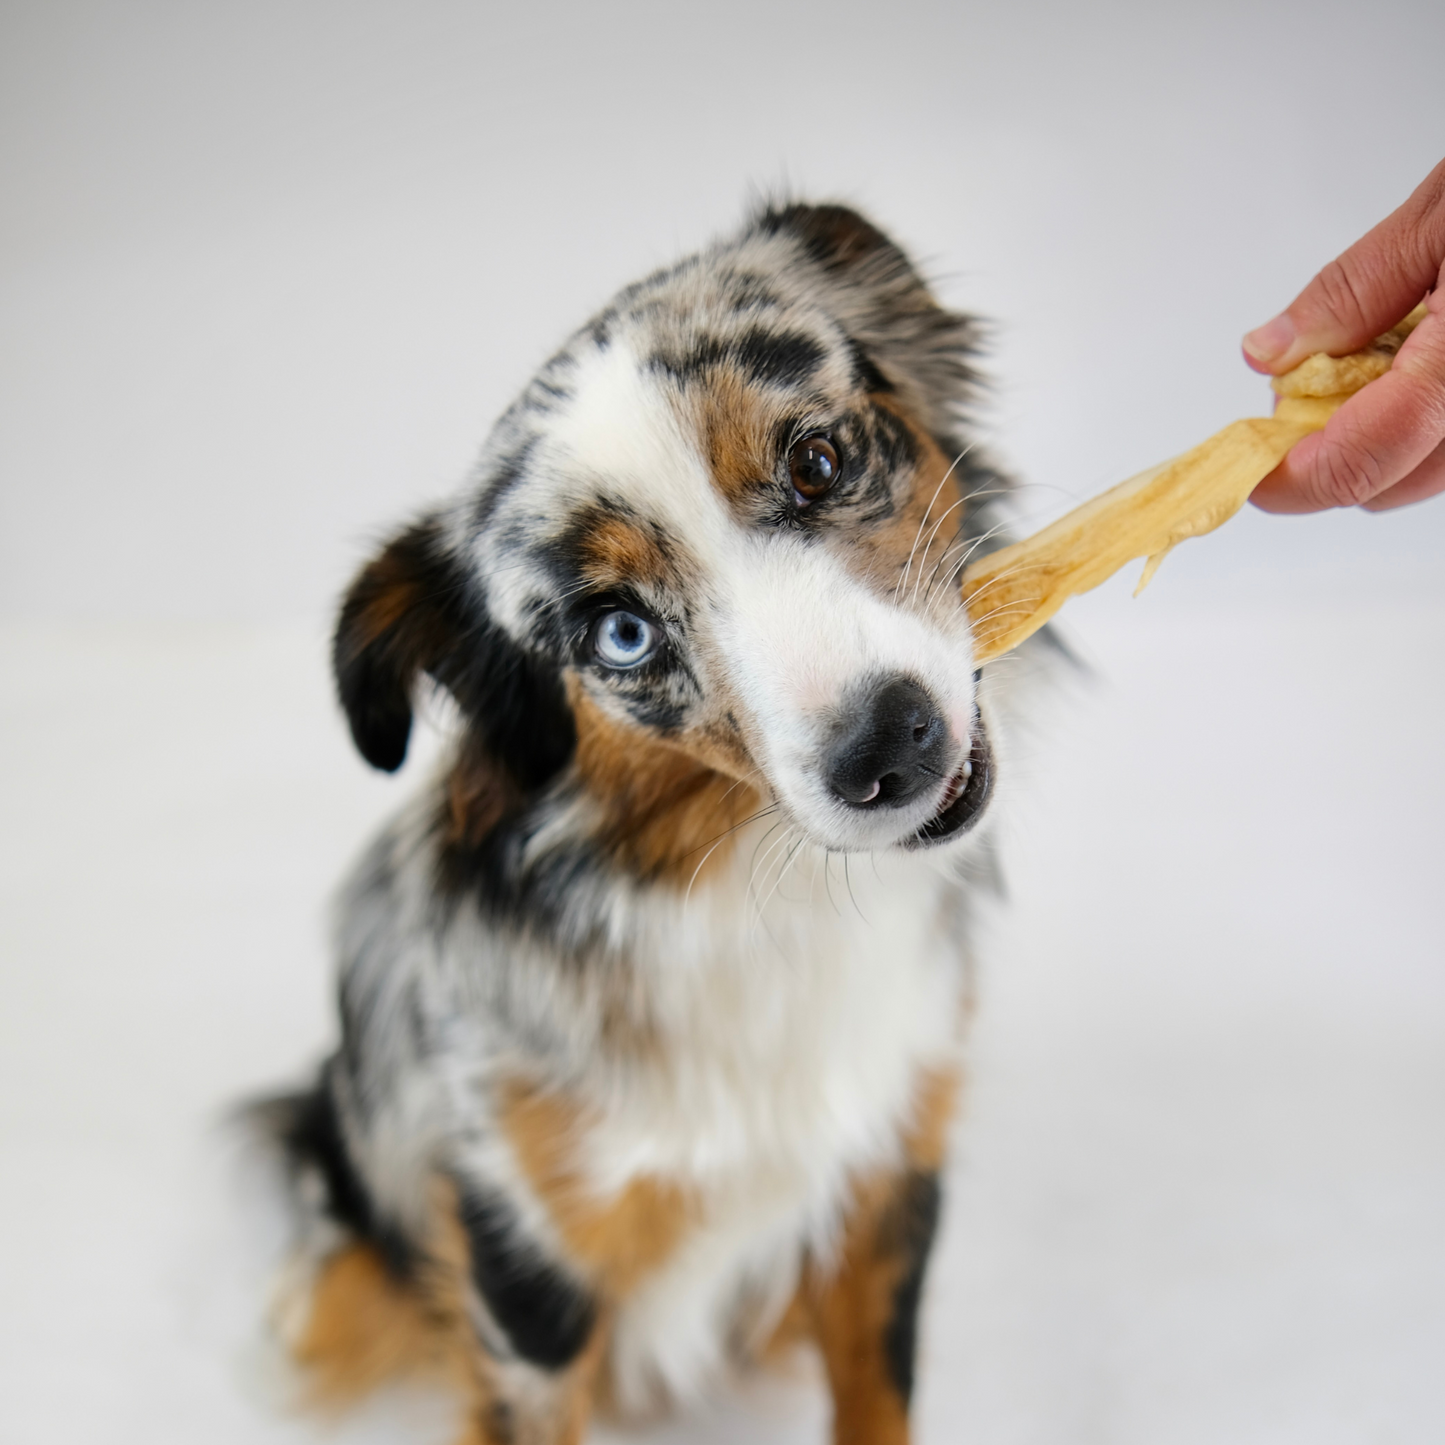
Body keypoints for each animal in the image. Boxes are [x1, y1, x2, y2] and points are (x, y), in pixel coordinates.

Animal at [257, 203, 1028, 1445]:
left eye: (816, 460)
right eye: (619, 631)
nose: (890, 748)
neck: (755, 889)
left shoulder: (887, 1176)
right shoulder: (529, 1264)